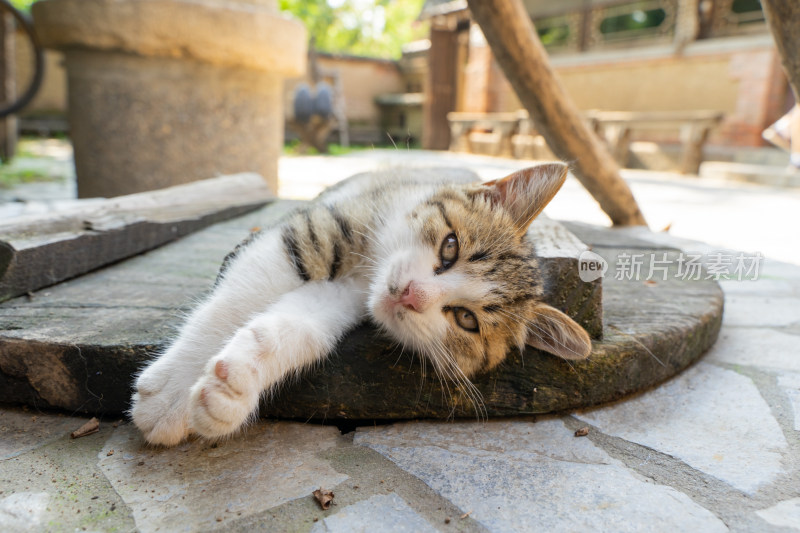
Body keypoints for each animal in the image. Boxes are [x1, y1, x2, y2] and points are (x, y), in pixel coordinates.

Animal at [131, 162, 592, 444]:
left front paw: (235, 386)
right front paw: (171, 395)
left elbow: (301, 328)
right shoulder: (319, 230)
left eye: (466, 320)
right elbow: (236, 298)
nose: (410, 294)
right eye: (450, 247)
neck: (366, 273)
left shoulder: (341, 297)